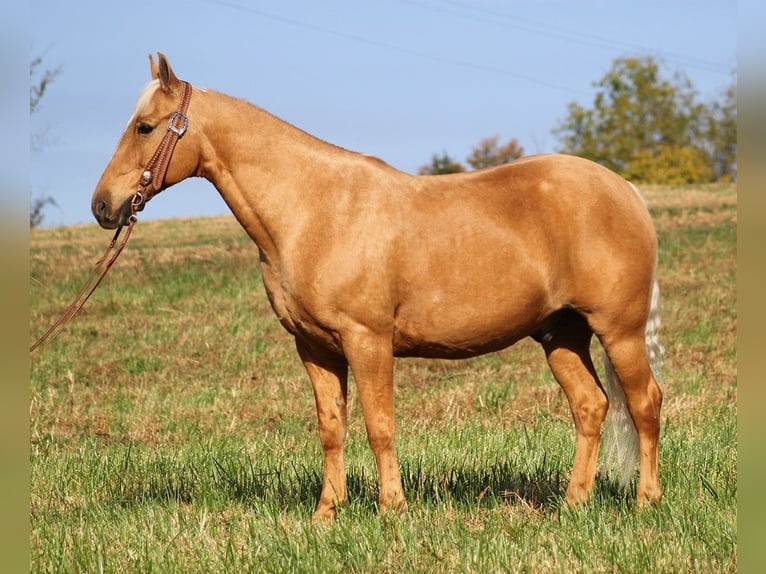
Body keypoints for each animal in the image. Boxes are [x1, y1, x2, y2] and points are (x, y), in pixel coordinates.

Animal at [91, 53, 664, 520]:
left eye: (144, 127)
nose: (102, 206)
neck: (316, 209)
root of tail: (625, 189)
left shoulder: (368, 341)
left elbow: (379, 424)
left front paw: (392, 511)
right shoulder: (316, 347)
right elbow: (332, 428)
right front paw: (326, 515)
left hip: (619, 331)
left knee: (645, 403)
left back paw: (646, 502)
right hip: (561, 333)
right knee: (591, 406)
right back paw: (573, 503)